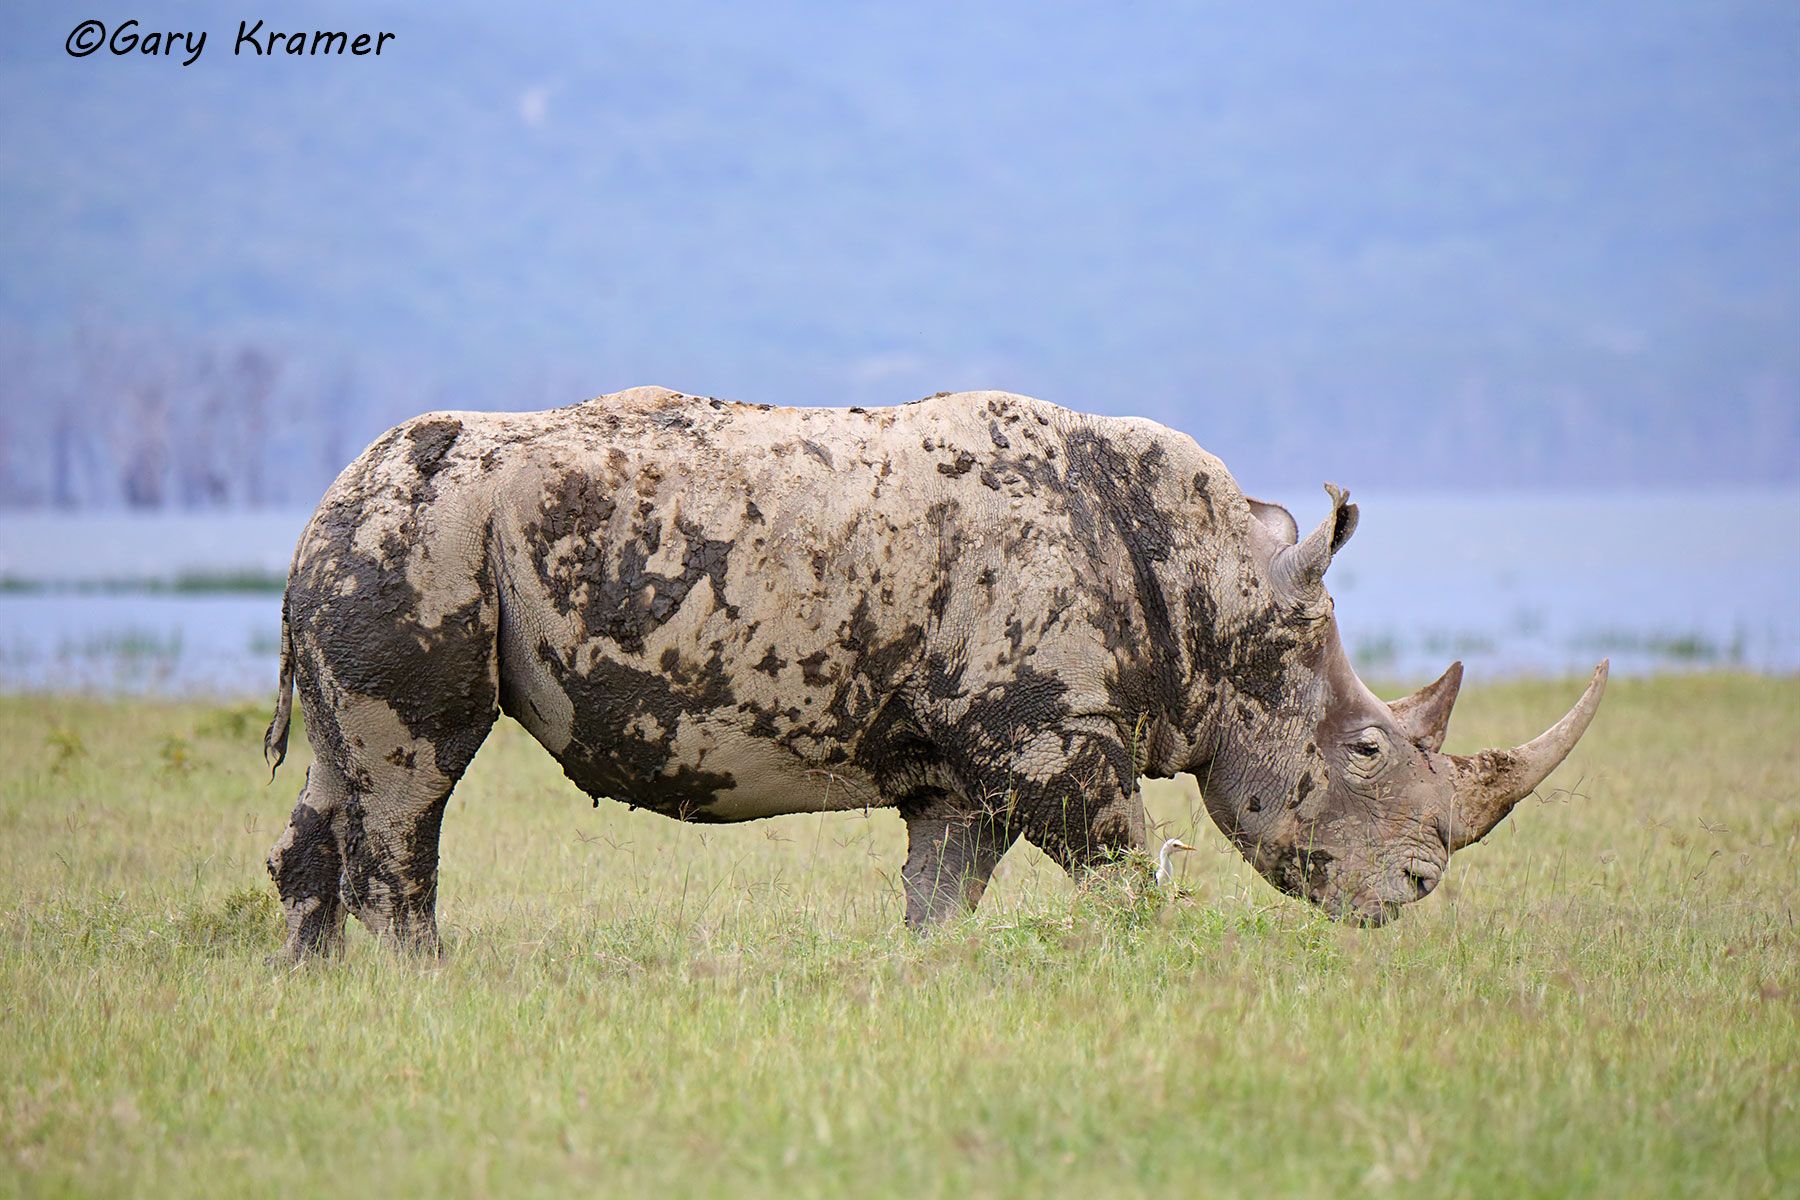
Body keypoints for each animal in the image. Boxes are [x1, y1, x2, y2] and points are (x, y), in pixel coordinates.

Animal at [262, 386, 1606, 960]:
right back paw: (423, 986)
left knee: (341, 769)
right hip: (424, 537)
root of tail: (324, 498)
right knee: (415, 773)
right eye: (1364, 751)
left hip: (379, 540)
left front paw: (926, 982)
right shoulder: (1046, 731)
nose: (1416, 891)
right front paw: (1147, 960)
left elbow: (944, 886)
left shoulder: (979, 745)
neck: (1216, 591)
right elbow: (1123, 865)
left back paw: (320, 986)